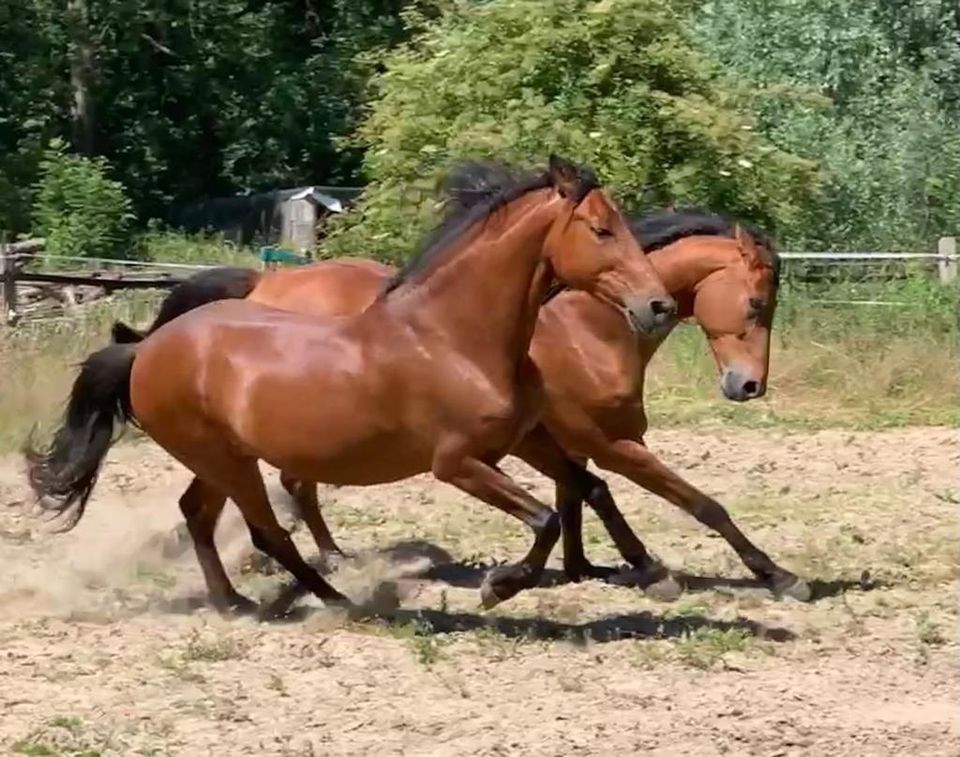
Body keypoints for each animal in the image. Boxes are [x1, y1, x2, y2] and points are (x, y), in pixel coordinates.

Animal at [26, 155, 680, 616]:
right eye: (600, 229)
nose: (659, 306)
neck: (453, 336)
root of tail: (146, 349)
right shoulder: (457, 462)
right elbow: (545, 517)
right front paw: (500, 586)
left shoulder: (520, 441)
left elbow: (582, 488)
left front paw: (651, 574)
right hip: (224, 459)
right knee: (267, 531)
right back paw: (337, 600)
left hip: (221, 458)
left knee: (199, 513)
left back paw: (234, 602)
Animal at [112, 167, 808, 604]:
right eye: (757, 304)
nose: (749, 385)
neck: (586, 327)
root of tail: (261, 284)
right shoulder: (602, 440)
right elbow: (685, 501)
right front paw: (768, 575)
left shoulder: (546, 439)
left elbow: (580, 494)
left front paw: (587, 567)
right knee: (286, 492)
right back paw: (327, 570)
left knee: (258, 496)